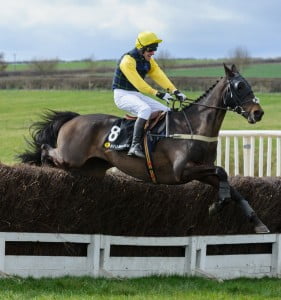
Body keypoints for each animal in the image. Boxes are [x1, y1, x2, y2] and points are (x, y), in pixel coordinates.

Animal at [18, 63, 270, 234]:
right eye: (239, 86)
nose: (258, 113)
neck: (194, 125)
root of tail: (73, 119)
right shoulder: (182, 170)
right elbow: (222, 171)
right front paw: (217, 205)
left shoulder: (201, 170)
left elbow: (232, 187)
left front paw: (257, 223)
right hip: (71, 157)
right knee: (46, 149)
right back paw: (42, 165)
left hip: (90, 168)